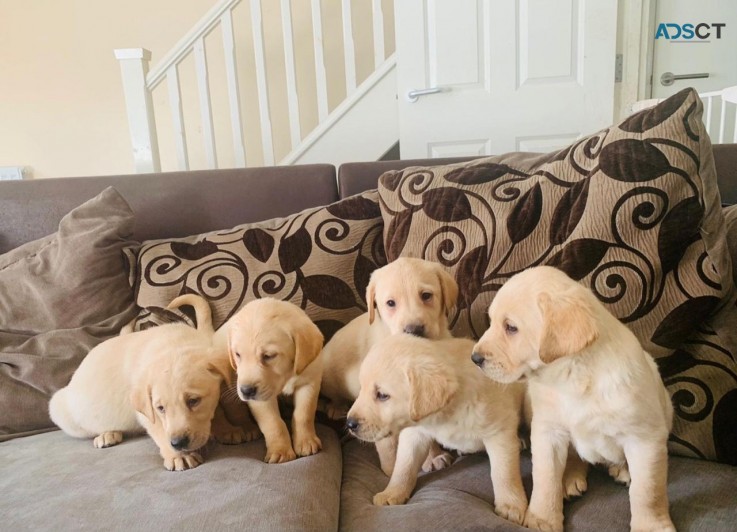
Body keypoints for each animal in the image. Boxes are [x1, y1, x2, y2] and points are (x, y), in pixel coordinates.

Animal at [50, 294, 240, 472]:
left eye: (194, 401)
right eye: (160, 408)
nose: (178, 443)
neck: (173, 347)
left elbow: (218, 410)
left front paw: (227, 429)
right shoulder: (146, 411)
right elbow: (159, 429)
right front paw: (178, 456)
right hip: (59, 408)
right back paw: (107, 434)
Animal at [216, 300, 324, 466]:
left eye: (268, 356)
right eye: (237, 354)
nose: (246, 390)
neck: (286, 375)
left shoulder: (309, 382)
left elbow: (304, 414)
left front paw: (306, 441)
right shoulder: (260, 400)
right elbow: (273, 423)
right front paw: (281, 451)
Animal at [342, 336, 528, 524]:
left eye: (382, 395)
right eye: (361, 389)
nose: (350, 424)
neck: (446, 412)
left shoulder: (499, 432)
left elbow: (504, 473)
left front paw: (511, 505)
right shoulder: (414, 434)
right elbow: (404, 466)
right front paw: (392, 492)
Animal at [472, 266, 672, 532]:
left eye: (511, 327)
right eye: (491, 321)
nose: (475, 358)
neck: (570, 376)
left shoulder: (645, 439)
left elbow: (648, 491)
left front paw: (652, 525)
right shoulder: (547, 431)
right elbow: (545, 479)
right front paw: (542, 519)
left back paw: (621, 469)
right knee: (576, 458)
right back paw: (570, 479)